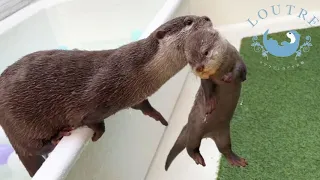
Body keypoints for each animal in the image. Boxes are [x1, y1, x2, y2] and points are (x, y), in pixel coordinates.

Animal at [0, 15, 215, 176]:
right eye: (188, 21)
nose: (207, 18)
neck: (134, 72)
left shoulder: (136, 95)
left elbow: (143, 106)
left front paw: (158, 117)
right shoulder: (93, 94)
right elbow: (88, 119)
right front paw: (97, 134)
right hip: (23, 124)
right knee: (33, 147)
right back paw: (57, 138)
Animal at [164, 28, 249, 171]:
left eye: (205, 52)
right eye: (190, 61)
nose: (199, 67)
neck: (220, 70)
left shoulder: (237, 59)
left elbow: (239, 71)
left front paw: (229, 77)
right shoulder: (206, 80)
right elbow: (206, 88)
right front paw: (210, 103)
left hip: (223, 134)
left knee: (225, 148)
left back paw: (236, 160)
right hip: (195, 131)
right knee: (190, 148)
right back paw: (198, 157)